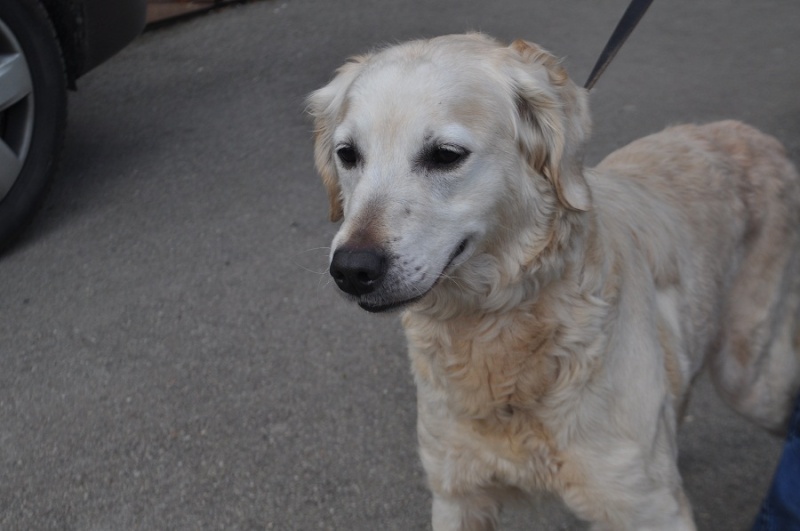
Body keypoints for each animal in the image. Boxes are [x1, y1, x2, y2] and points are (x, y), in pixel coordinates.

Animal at [308, 35, 800, 528]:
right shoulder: (457, 494)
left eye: (445, 155)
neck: (500, 333)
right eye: (347, 154)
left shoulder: (649, 508)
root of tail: (753, 135)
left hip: (748, 379)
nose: (351, 270)